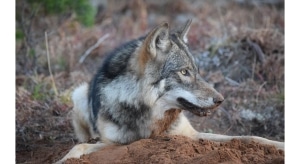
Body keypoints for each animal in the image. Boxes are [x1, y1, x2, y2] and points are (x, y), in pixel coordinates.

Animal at [55, 19, 284, 163]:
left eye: (197, 71)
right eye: (184, 72)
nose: (220, 100)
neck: (153, 118)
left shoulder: (189, 135)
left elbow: (251, 138)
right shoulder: (113, 143)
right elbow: (79, 148)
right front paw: (63, 160)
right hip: (78, 94)